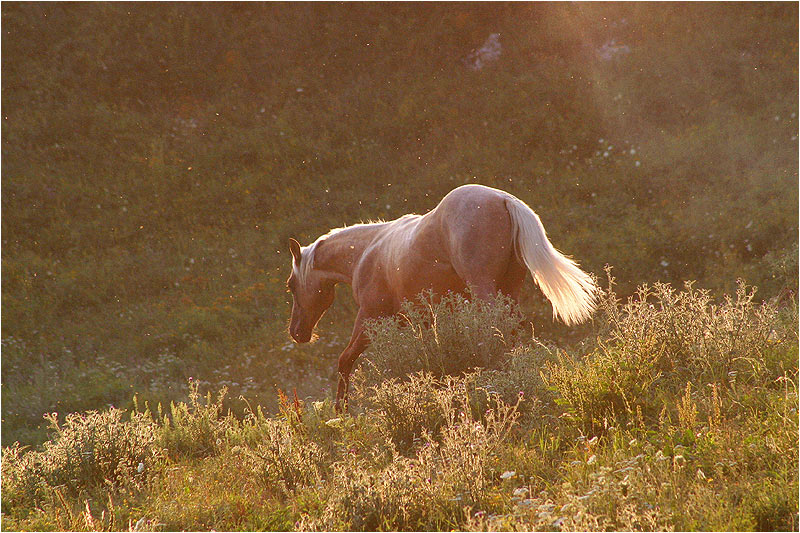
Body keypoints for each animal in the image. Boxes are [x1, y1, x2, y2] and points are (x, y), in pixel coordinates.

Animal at [284, 181, 596, 410]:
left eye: (291, 285)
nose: (297, 332)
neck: (367, 251)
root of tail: (504, 200)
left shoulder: (371, 318)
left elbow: (345, 359)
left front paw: (340, 410)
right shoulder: (421, 320)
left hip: (484, 290)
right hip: (508, 292)